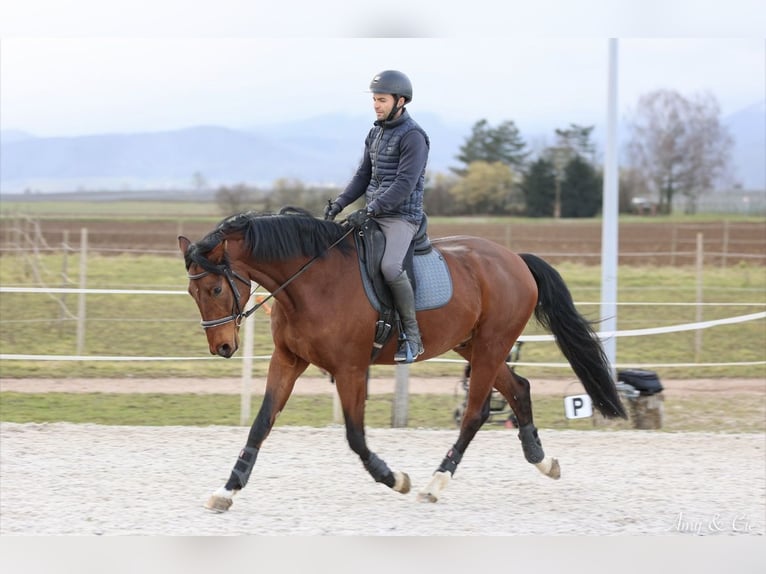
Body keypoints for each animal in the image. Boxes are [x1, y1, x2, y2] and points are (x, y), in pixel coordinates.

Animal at [178, 207, 626, 512]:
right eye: (192, 292)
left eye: (216, 289)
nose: (222, 347)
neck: (310, 281)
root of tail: (515, 259)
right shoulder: (287, 361)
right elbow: (261, 424)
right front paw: (227, 490)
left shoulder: (350, 369)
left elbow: (355, 437)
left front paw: (395, 479)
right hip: (475, 346)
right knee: (518, 390)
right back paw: (543, 461)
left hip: (490, 346)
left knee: (475, 412)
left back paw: (435, 482)